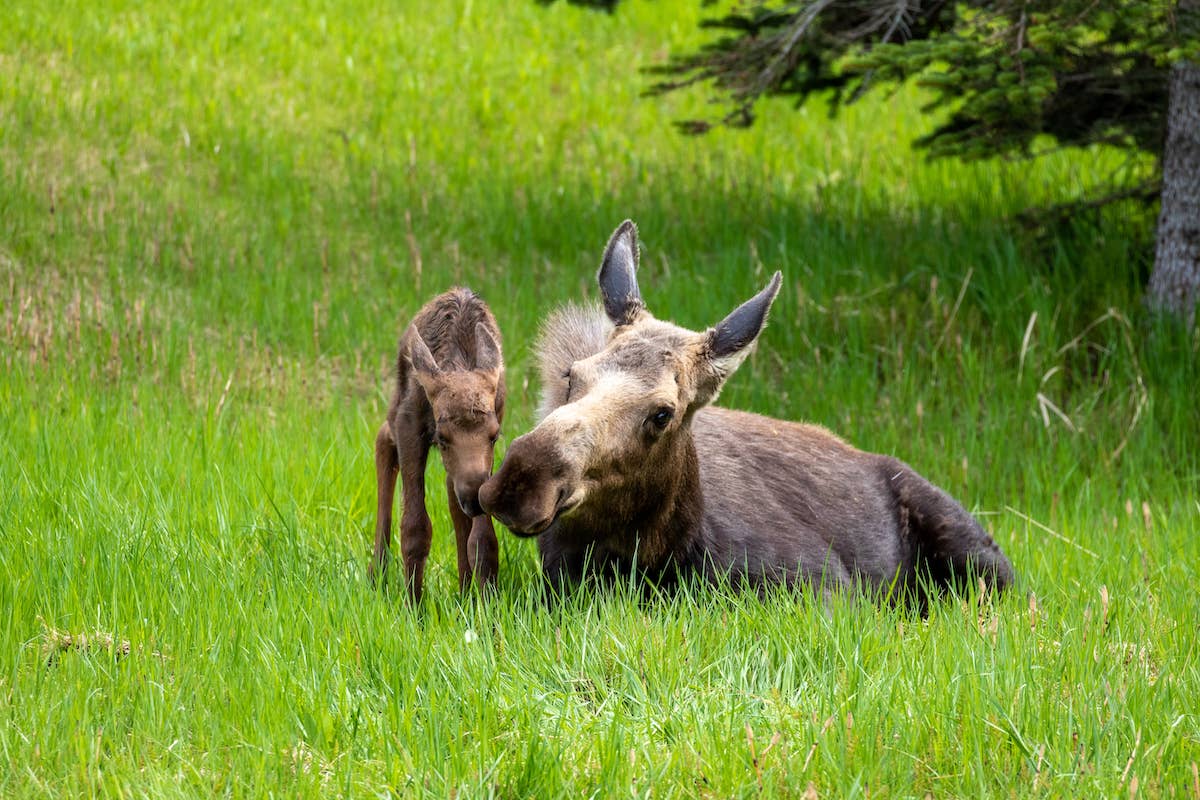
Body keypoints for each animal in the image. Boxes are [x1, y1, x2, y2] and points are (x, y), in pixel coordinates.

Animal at [371, 288, 505, 602]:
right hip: (396, 408)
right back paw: (377, 573)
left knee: (451, 492)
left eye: (494, 435)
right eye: (442, 437)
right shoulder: (410, 426)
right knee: (383, 439)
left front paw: (487, 605)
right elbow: (415, 527)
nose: (473, 496)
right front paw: (413, 606)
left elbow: (483, 539)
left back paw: (466, 591)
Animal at [479, 221, 1013, 606]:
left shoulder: (826, 586)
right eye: (572, 374)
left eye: (662, 414)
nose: (522, 480)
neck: (661, 553)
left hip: (981, 557)